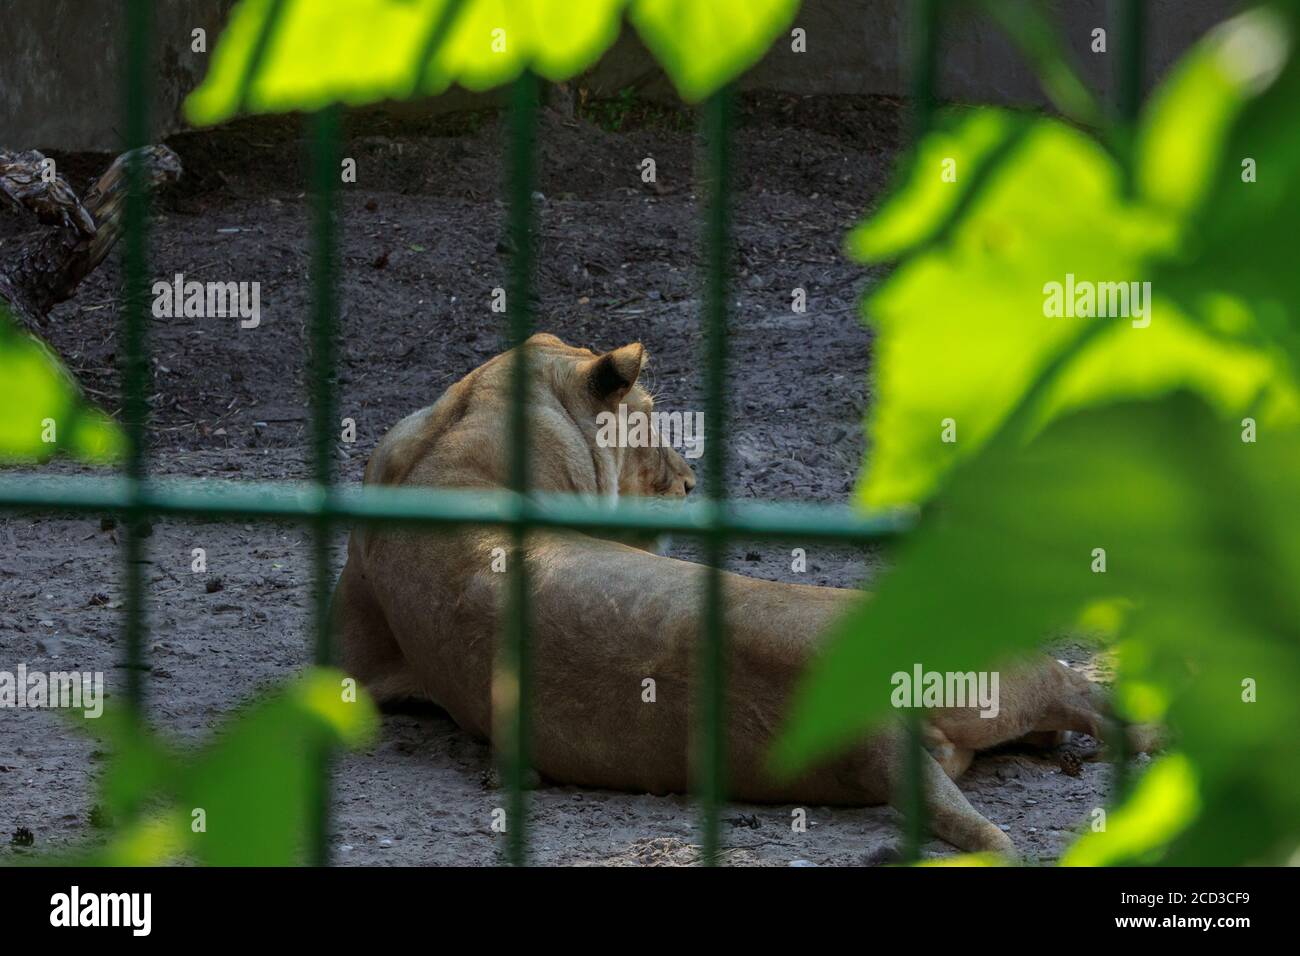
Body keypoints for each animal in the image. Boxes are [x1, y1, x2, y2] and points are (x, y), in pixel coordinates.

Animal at [333, 333, 1151, 856]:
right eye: (652, 418)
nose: (691, 481)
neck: (462, 428)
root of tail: (874, 729)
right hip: (1003, 655)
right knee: (1091, 700)